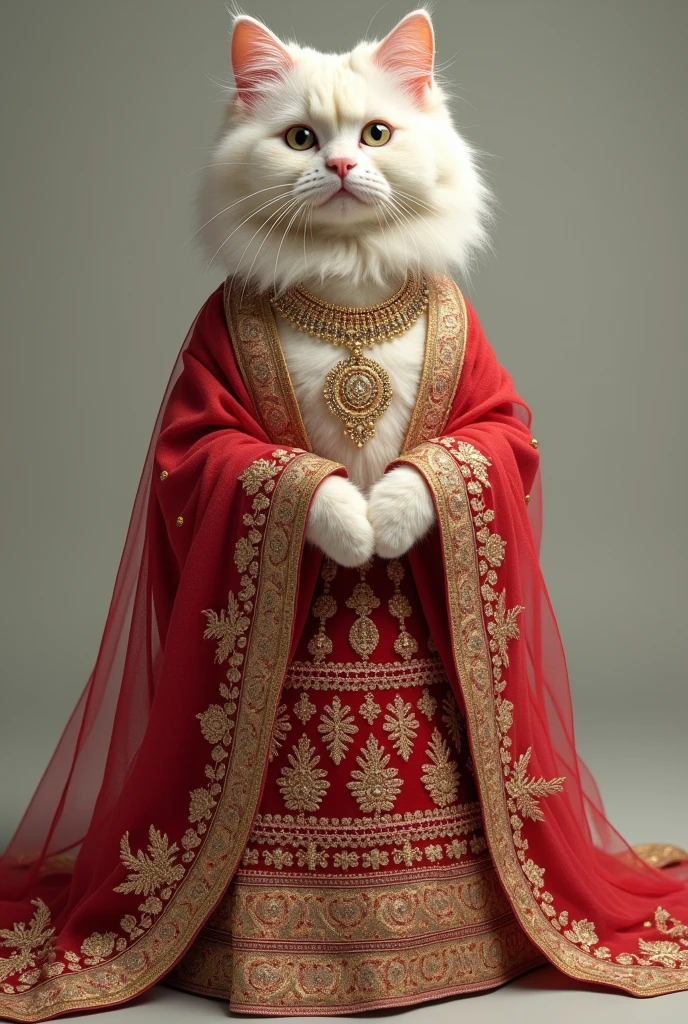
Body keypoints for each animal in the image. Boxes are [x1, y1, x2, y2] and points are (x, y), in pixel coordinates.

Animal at [196, 6, 491, 569]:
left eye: (376, 135)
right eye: (300, 139)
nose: (340, 165)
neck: (350, 280)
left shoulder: (491, 408)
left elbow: (435, 465)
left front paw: (389, 530)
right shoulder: (205, 422)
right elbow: (292, 477)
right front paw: (355, 538)